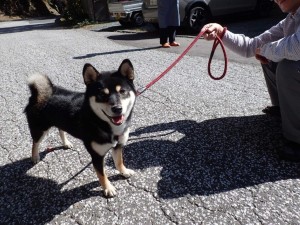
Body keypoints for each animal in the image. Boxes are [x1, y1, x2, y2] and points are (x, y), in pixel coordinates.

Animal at [24, 59, 137, 197]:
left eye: (122, 91)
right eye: (101, 94)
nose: (117, 108)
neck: (103, 124)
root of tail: (38, 95)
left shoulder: (118, 146)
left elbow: (119, 162)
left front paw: (124, 171)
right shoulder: (97, 156)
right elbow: (102, 175)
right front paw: (108, 188)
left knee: (61, 130)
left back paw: (66, 143)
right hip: (40, 129)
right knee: (35, 143)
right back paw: (35, 157)